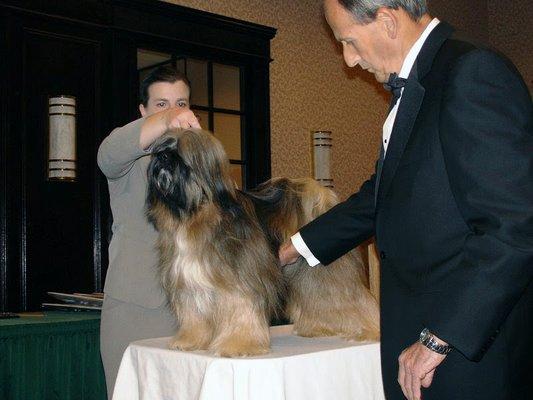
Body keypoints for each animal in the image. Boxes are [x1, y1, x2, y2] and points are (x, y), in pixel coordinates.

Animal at [145, 128, 378, 356]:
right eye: (161, 148)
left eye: (180, 153)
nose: (162, 156)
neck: (196, 215)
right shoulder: (189, 284)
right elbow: (193, 315)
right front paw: (189, 341)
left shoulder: (241, 280)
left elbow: (242, 308)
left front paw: (238, 345)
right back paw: (318, 327)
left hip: (327, 270)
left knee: (353, 297)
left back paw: (372, 330)